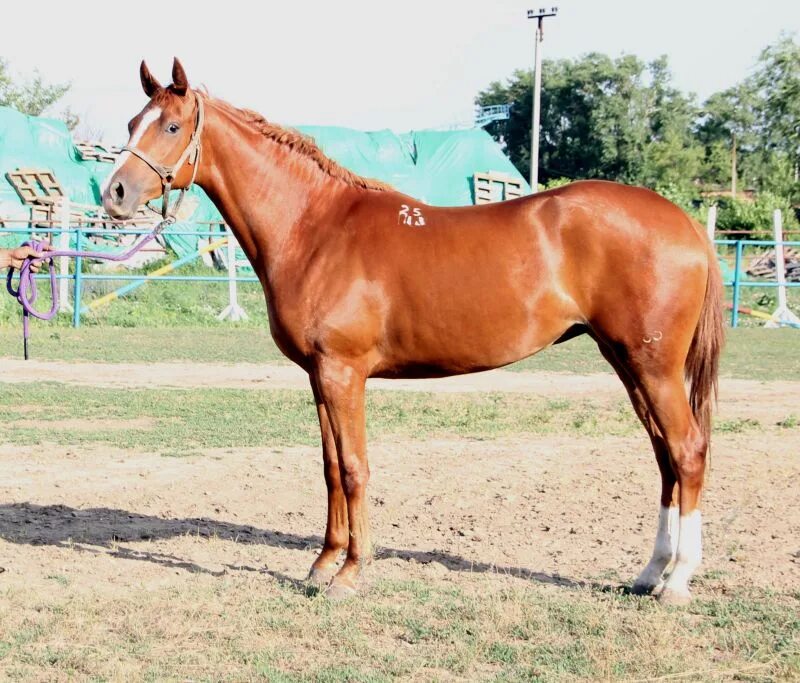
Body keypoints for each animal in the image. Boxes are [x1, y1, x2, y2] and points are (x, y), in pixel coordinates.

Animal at [101, 58, 724, 604]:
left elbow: (355, 469)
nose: (115, 195)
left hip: (652, 366)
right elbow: (330, 467)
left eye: (172, 126)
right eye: (132, 123)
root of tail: (687, 223)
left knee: (687, 451)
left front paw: (350, 574)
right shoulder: (320, 376)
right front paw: (322, 564)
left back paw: (676, 582)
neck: (315, 228)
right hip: (628, 362)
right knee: (665, 457)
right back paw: (649, 574)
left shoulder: (344, 373)